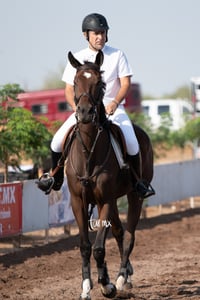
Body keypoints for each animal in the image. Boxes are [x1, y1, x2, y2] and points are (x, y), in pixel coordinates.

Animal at [64, 50, 155, 298]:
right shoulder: (79, 201)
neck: (89, 151)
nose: (85, 113)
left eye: (100, 83)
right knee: (119, 231)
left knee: (129, 235)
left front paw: (107, 285)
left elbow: (98, 248)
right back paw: (125, 274)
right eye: (75, 82)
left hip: (134, 196)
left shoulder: (104, 200)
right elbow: (86, 246)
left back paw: (123, 277)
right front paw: (86, 286)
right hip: (113, 200)